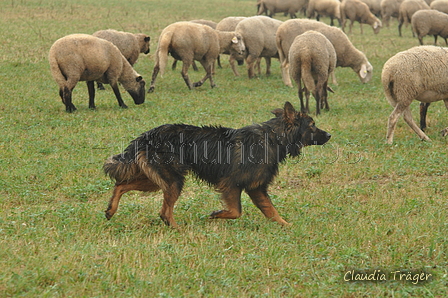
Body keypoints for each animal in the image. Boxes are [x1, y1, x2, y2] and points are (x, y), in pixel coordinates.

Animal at [103, 101, 330, 227]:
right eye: (312, 125)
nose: (329, 135)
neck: (274, 137)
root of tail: (146, 136)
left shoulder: (256, 188)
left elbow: (272, 212)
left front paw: (287, 226)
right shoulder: (232, 184)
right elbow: (236, 212)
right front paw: (215, 215)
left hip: (156, 179)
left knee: (121, 185)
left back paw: (110, 210)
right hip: (172, 180)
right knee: (164, 212)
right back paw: (178, 229)